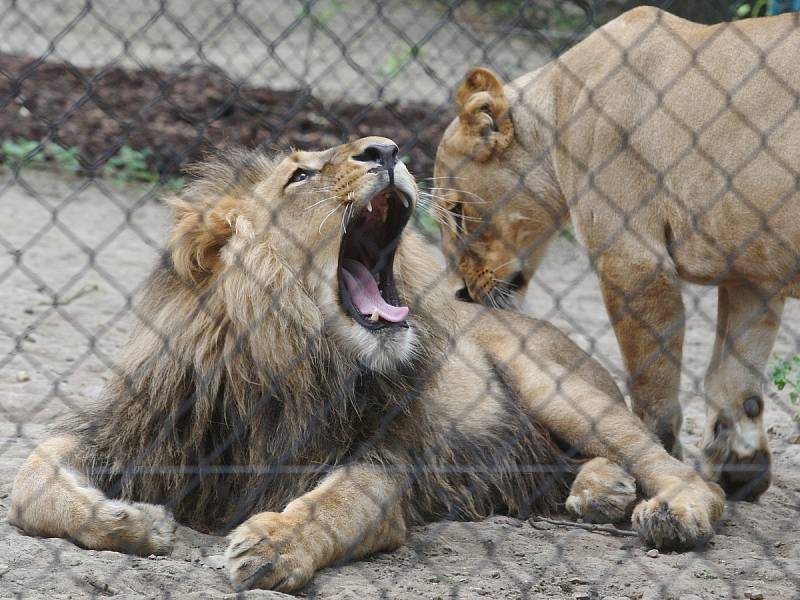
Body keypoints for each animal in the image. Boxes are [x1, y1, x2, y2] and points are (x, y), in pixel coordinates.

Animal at [9, 136, 724, 592]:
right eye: (298, 176)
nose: (387, 150)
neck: (281, 360)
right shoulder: (137, 429)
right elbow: (30, 480)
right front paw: (130, 522)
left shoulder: (385, 460)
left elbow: (339, 504)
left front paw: (273, 544)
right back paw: (600, 491)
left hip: (554, 385)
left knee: (675, 465)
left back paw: (672, 511)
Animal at [434, 7, 796, 502]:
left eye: (455, 213)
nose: (459, 293)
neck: (558, 106)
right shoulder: (751, 277)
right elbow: (736, 379)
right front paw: (743, 468)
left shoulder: (632, 259)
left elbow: (651, 384)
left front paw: (659, 464)